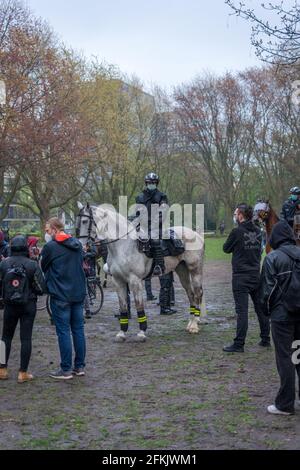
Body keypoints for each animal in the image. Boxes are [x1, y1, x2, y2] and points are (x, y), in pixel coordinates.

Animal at [76, 202, 205, 342]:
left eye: (84, 221)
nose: (81, 246)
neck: (123, 245)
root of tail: (196, 234)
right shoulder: (118, 281)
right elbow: (123, 306)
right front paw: (122, 332)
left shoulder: (135, 281)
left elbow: (139, 305)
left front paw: (142, 332)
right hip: (182, 271)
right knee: (190, 294)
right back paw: (191, 323)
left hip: (195, 270)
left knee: (197, 294)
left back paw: (195, 325)